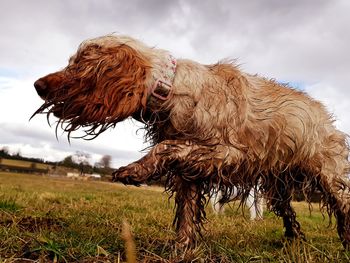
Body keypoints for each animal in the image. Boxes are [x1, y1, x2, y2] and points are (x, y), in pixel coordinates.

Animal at [33, 34, 350, 250]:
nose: (37, 85)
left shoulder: (228, 153)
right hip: (278, 186)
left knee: (343, 207)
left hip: (331, 179)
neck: (172, 88)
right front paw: (182, 248)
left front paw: (135, 170)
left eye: (79, 65)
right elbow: (186, 216)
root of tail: (325, 117)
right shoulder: (190, 173)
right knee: (289, 214)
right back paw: (294, 240)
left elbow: (164, 147)